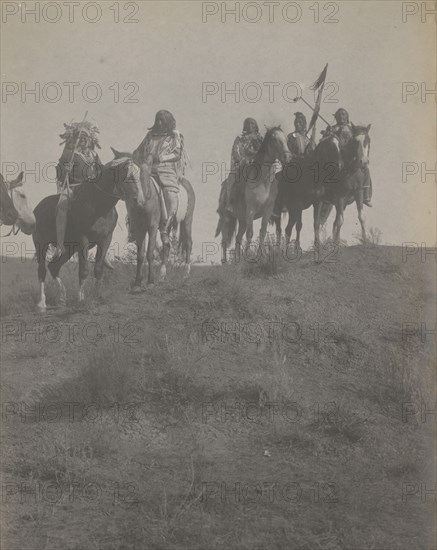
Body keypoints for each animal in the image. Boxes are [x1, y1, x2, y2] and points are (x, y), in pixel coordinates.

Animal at [32, 156, 141, 314]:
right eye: (129, 176)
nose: (139, 200)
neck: (99, 205)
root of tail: (37, 209)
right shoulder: (83, 238)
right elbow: (83, 270)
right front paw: (81, 300)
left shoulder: (105, 239)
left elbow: (99, 268)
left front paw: (98, 296)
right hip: (41, 244)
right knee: (42, 270)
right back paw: (41, 304)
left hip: (69, 249)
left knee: (54, 267)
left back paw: (62, 299)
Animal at [110, 149, 196, 292]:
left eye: (130, 172)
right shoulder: (139, 227)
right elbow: (140, 255)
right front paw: (137, 283)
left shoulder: (152, 226)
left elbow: (150, 253)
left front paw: (150, 282)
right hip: (166, 226)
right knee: (167, 246)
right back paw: (162, 276)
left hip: (187, 220)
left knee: (188, 244)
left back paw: (186, 275)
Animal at [215, 126, 292, 264]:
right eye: (274, 139)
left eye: (286, 139)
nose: (287, 157)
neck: (263, 182)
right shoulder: (251, 210)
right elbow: (250, 234)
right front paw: (248, 258)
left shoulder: (267, 211)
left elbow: (262, 232)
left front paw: (261, 256)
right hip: (226, 217)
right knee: (224, 239)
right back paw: (225, 262)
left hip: (242, 220)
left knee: (238, 237)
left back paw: (237, 261)